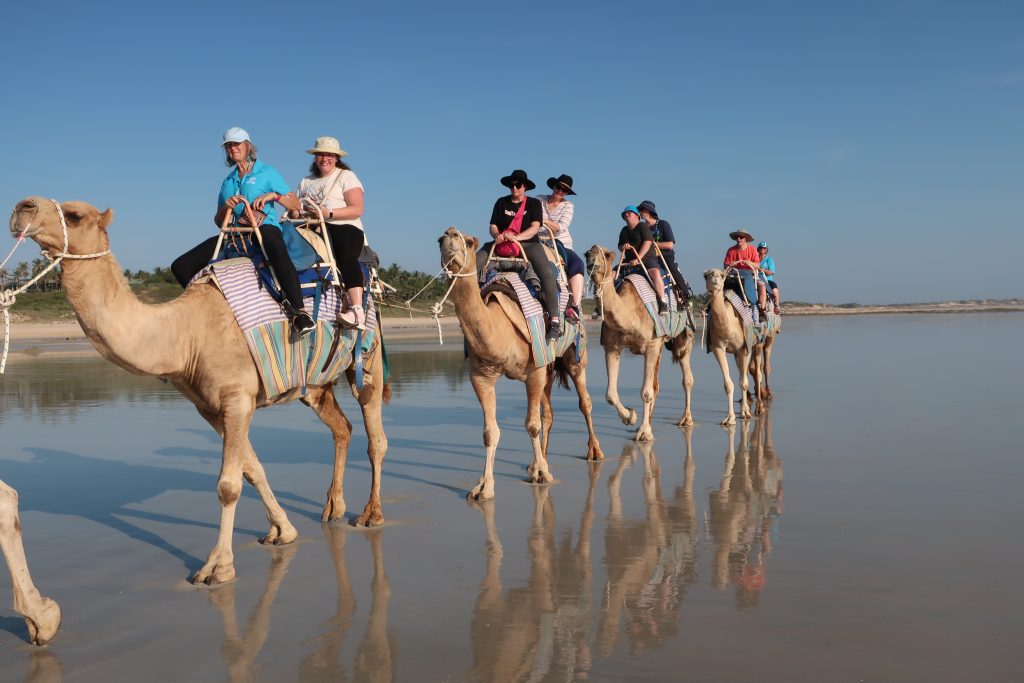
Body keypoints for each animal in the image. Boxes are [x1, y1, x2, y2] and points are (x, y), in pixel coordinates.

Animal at [9, 197, 387, 589]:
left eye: (74, 216)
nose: (22, 207)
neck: (186, 333)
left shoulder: (237, 398)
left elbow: (228, 485)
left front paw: (217, 567)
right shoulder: (209, 407)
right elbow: (252, 469)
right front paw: (282, 531)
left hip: (368, 354)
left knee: (376, 436)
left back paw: (370, 514)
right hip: (314, 384)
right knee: (341, 427)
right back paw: (333, 508)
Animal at [438, 227, 598, 499]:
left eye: (469, 242)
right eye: (439, 240)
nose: (449, 234)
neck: (500, 327)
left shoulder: (534, 371)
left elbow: (531, 425)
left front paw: (542, 475)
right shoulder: (481, 376)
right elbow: (490, 432)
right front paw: (483, 487)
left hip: (576, 354)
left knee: (584, 401)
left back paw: (593, 452)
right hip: (548, 368)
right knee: (549, 412)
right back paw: (538, 461)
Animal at [585, 244, 696, 438]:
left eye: (607, 255)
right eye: (586, 254)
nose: (591, 260)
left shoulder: (651, 345)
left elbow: (645, 392)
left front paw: (644, 433)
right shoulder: (612, 347)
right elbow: (610, 394)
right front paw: (631, 417)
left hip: (683, 337)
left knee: (686, 377)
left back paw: (686, 420)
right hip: (661, 345)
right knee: (656, 384)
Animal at [704, 268, 761, 423]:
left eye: (722, 275)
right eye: (706, 275)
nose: (714, 278)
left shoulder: (743, 348)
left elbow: (743, 382)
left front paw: (745, 414)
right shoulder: (718, 348)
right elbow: (728, 384)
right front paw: (730, 418)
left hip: (756, 343)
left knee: (754, 372)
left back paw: (755, 408)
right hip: (736, 354)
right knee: (743, 372)